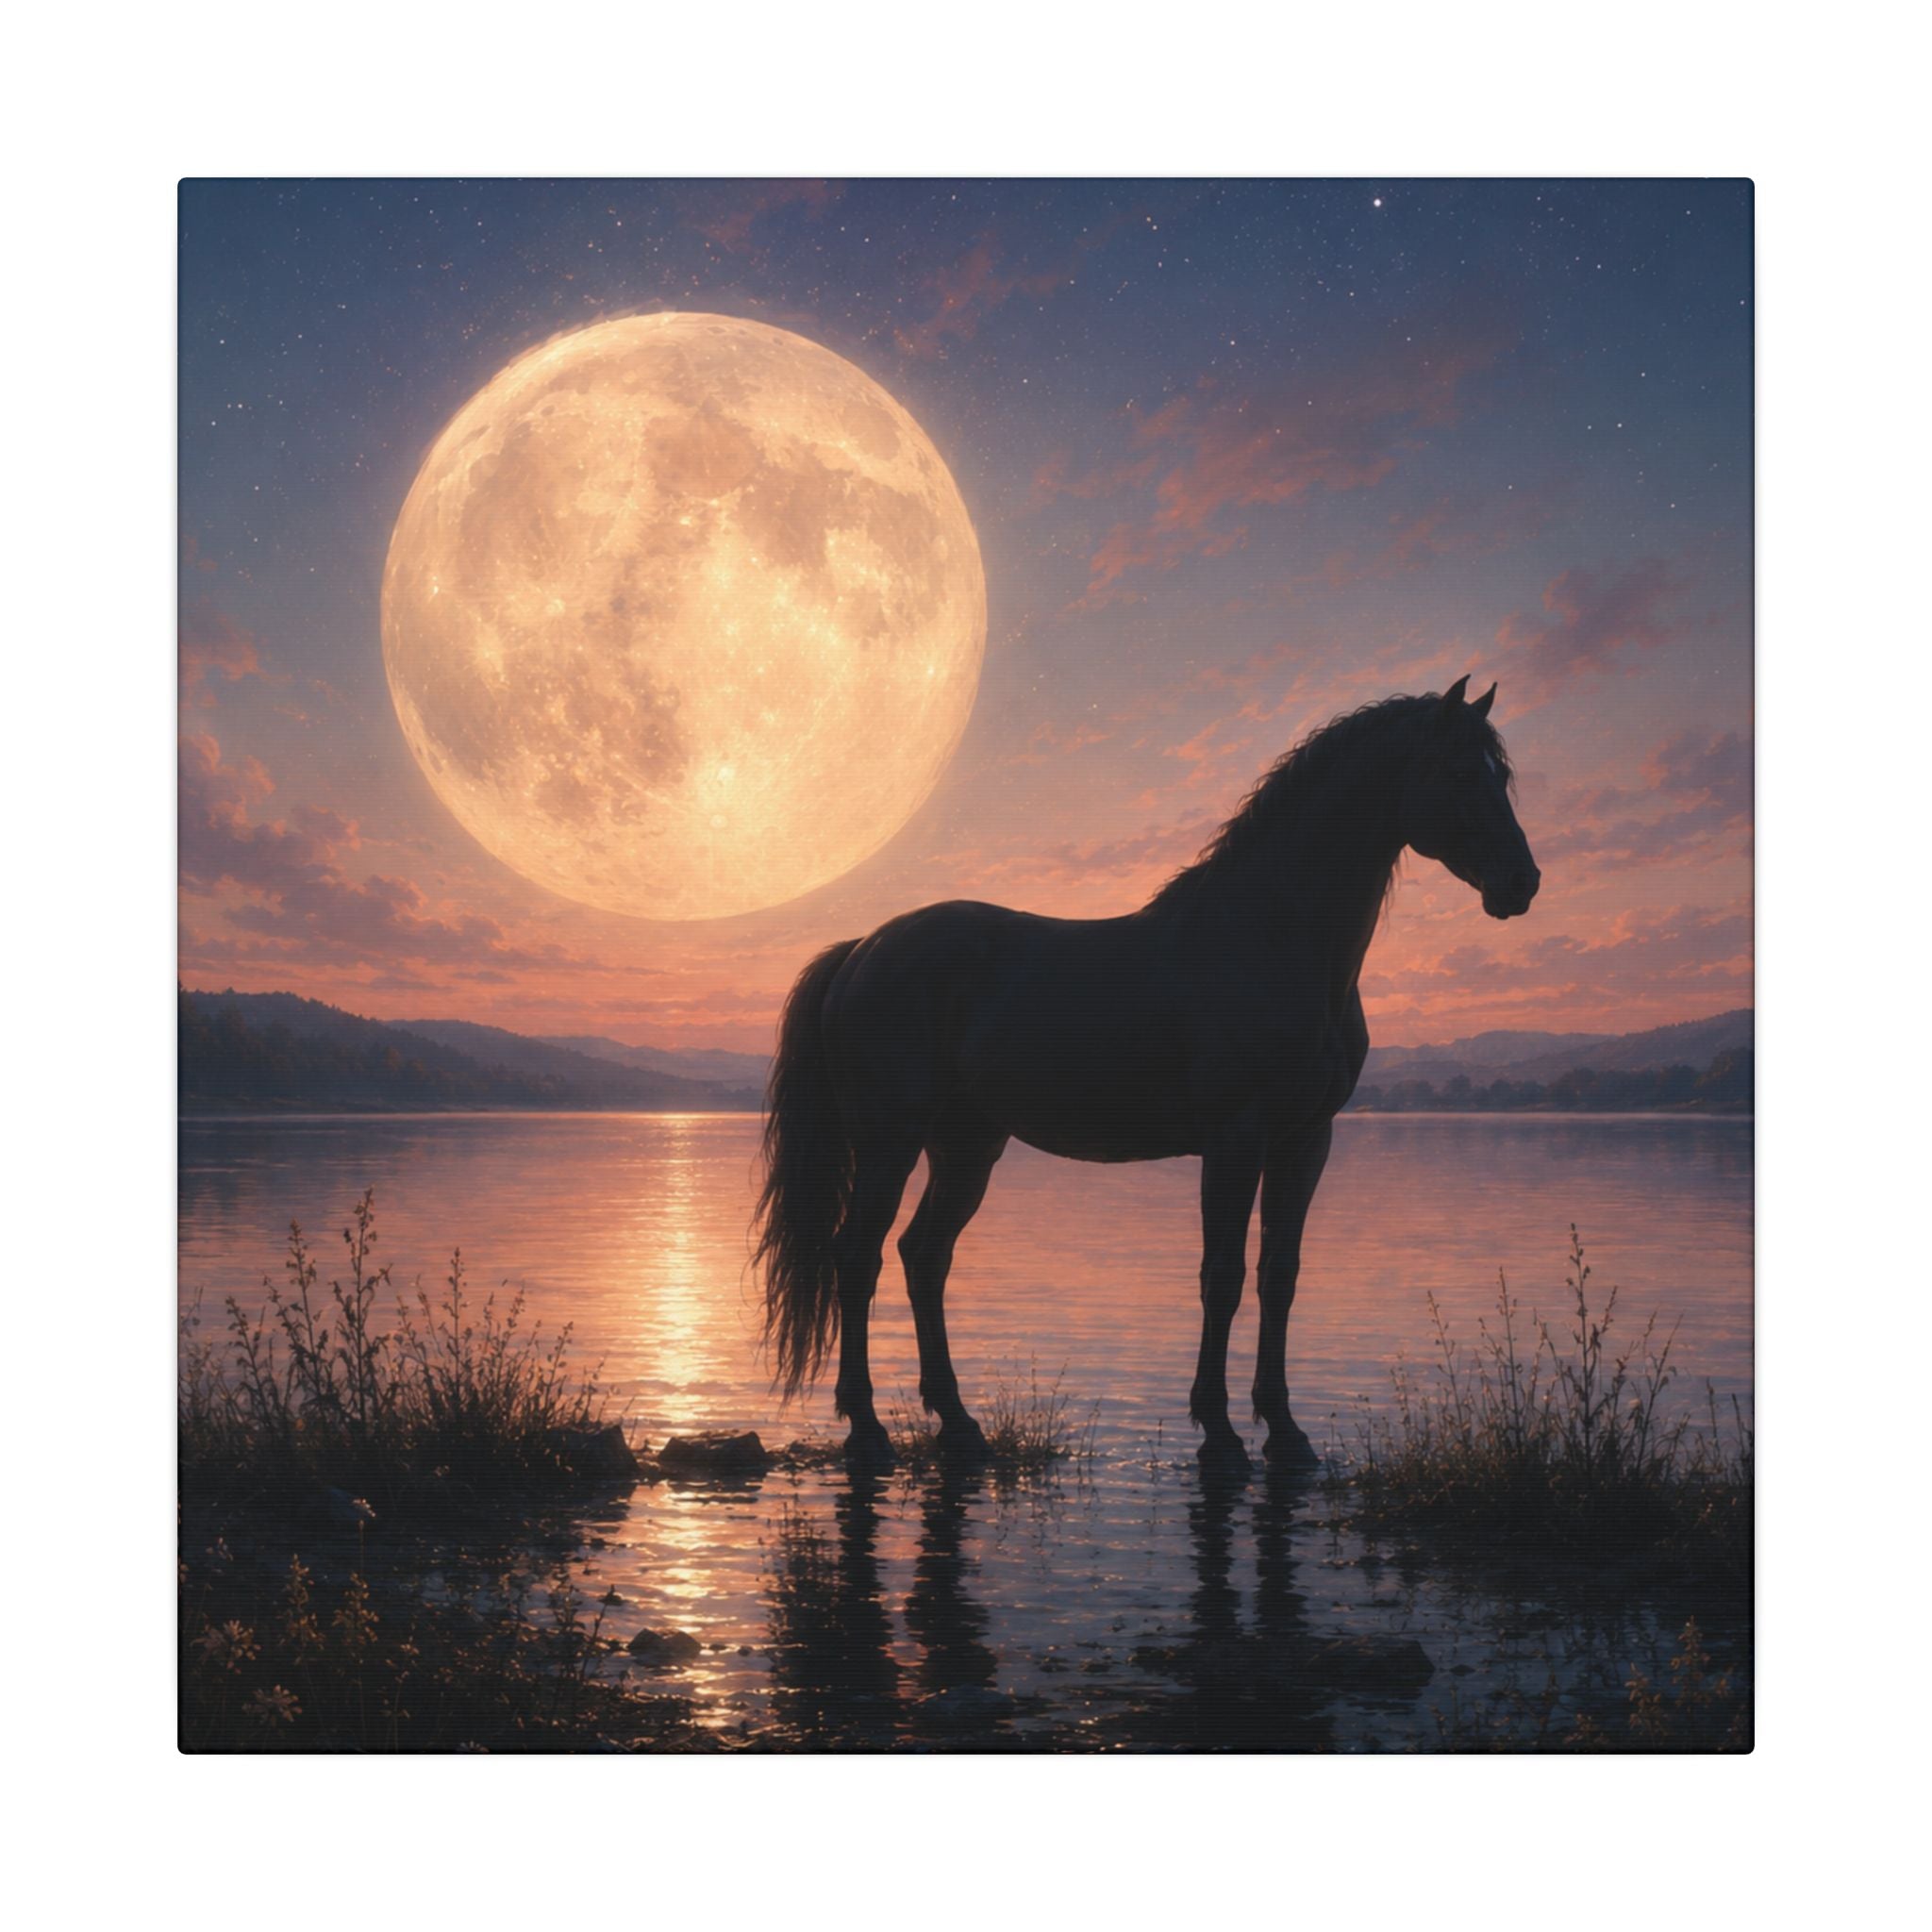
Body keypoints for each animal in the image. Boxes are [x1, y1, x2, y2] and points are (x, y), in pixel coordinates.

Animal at [752, 676, 1540, 1477]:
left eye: (1501, 775)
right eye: (1459, 771)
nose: (1522, 882)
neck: (1271, 939)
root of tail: (864, 948)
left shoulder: (1305, 1140)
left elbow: (1278, 1275)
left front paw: (1286, 1432)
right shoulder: (1236, 1138)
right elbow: (1222, 1276)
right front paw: (1220, 1434)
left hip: (967, 1146)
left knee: (924, 1256)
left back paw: (959, 1424)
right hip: (890, 1140)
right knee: (858, 1257)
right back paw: (867, 1429)